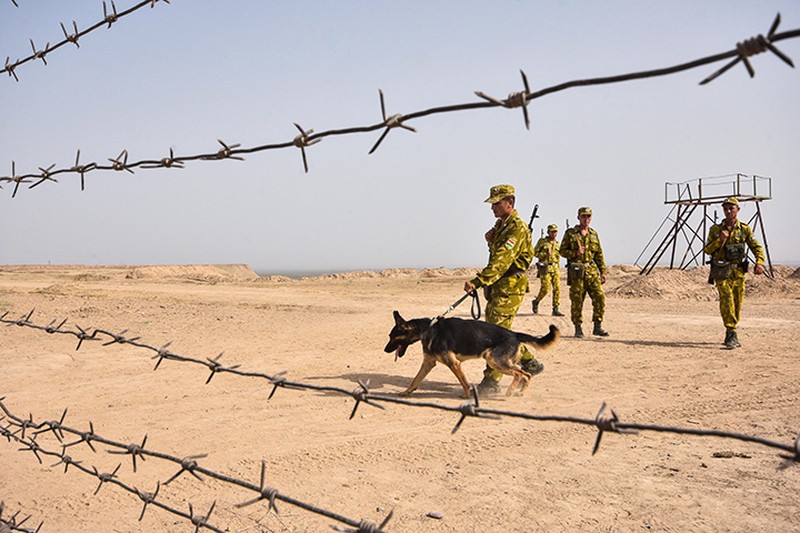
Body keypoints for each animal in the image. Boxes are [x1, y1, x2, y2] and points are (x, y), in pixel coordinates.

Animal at [384, 310, 560, 396]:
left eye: (393, 336)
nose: (385, 350)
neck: (428, 328)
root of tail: (514, 334)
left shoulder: (454, 364)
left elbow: (464, 383)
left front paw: (468, 397)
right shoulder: (428, 363)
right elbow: (415, 380)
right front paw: (406, 392)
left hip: (494, 361)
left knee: (519, 374)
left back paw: (510, 391)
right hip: (500, 362)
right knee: (526, 374)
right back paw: (520, 392)